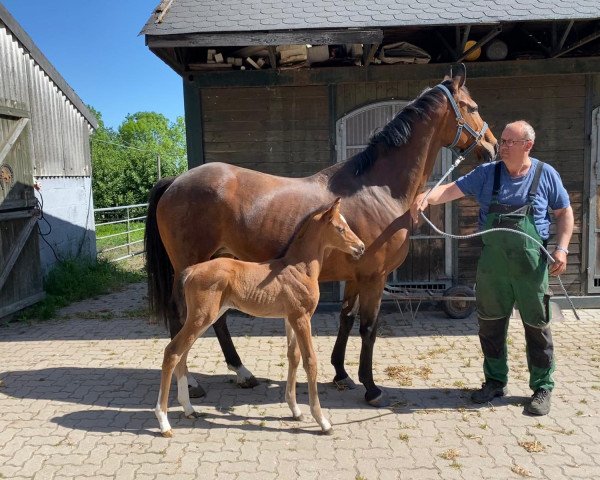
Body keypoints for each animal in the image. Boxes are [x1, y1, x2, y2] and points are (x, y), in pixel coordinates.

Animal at [154, 197, 366, 436]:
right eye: (340, 228)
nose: (361, 247)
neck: (299, 268)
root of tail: (191, 271)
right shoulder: (302, 318)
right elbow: (310, 361)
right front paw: (322, 421)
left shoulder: (290, 318)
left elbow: (293, 357)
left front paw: (295, 410)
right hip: (202, 317)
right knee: (173, 351)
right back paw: (163, 422)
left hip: (203, 318)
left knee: (182, 354)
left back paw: (189, 409)